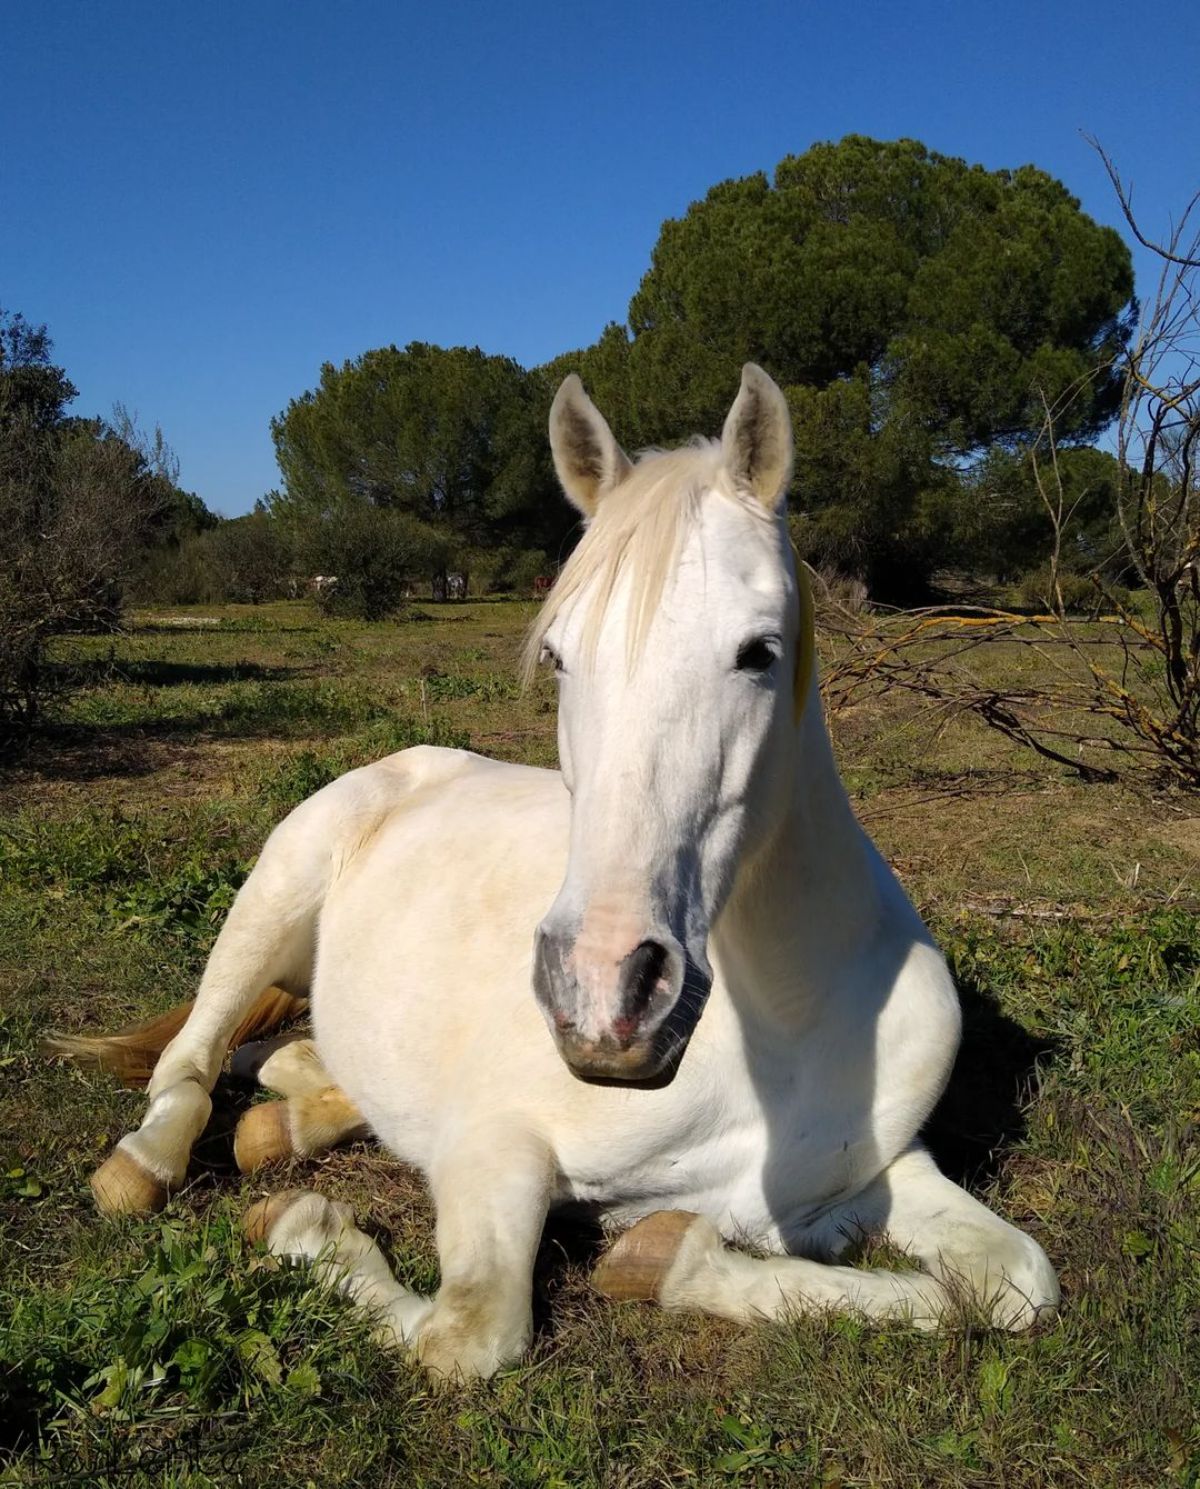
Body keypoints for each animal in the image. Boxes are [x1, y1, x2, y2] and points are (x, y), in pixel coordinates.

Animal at [63, 366, 1060, 1375]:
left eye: (760, 651)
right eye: (556, 655)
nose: (608, 993)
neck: (774, 1027)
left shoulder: (867, 1182)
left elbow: (1012, 1282)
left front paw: (665, 1257)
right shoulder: (495, 1148)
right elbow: (469, 1330)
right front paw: (301, 1227)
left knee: (284, 1063)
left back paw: (288, 1116)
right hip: (273, 894)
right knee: (190, 1064)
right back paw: (149, 1160)